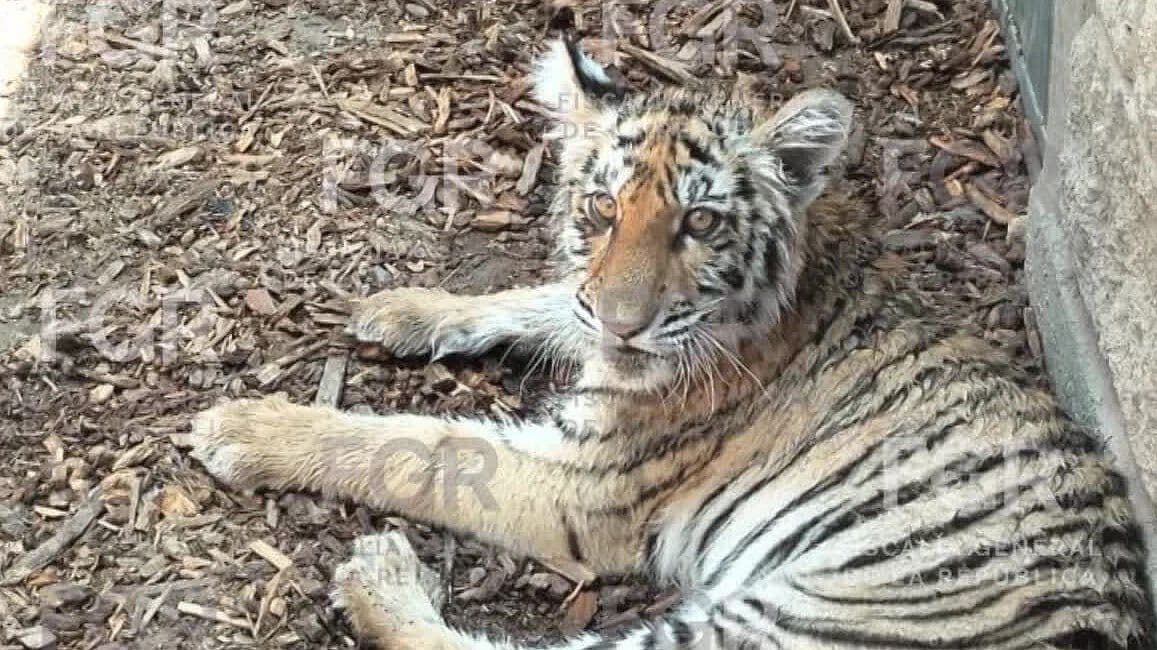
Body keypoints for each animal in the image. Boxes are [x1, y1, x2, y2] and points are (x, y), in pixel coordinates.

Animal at [189, 38, 1154, 649]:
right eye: (600, 208)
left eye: (700, 222)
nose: (625, 324)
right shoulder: (586, 322)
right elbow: (543, 299)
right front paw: (402, 309)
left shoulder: (583, 483)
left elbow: (416, 448)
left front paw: (244, 428)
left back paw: (379, 578)